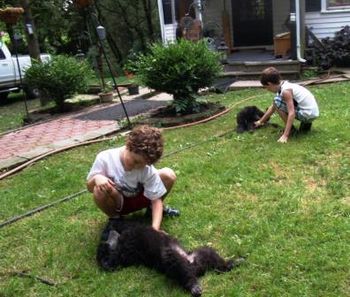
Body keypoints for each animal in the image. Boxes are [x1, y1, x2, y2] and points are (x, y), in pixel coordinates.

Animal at [95, 219, 243, 294]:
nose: (108, 234)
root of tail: (194, 266)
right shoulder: (125, 247)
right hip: (172, 258)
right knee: (185, 275)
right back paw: (193, 286)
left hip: (203, 254)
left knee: (218, 264)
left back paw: (233, 263)